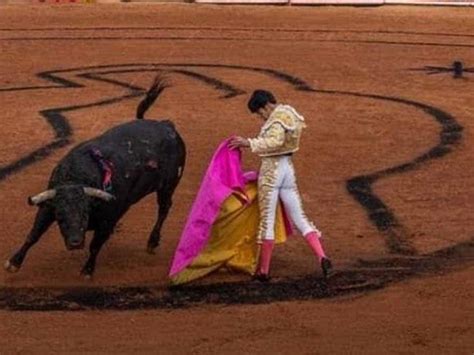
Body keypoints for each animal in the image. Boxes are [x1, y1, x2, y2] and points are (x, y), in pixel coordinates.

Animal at [4, 77, 185, 278]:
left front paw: (87, 270)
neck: (77, 178)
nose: (75, 243)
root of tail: (166, 125)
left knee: (164, 209)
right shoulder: (48, 207)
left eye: (85, 213)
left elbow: (95, 245)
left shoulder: (108, 219)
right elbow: (33, 234)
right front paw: (14, 262)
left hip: (168, 185)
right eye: (60, 215)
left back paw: (152, 242)